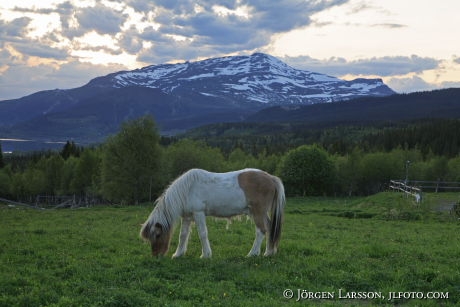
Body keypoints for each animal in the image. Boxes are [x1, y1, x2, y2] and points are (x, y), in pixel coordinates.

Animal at [138, 170, 286, 258]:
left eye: (157, 235)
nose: (156, 255)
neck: (188, 189)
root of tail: (271, 178)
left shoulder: (198, 213)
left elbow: (202, 234)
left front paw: (206, 255)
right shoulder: (187, 217)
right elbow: (183, 235)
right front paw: (178, 254)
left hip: (258, 212)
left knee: (261, 231)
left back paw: (253, 253)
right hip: (262, 213)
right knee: (269, 228)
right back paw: (269, 252)